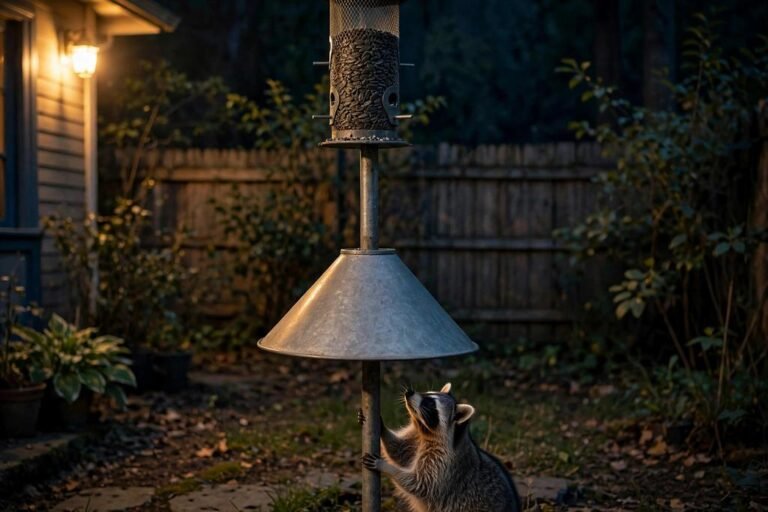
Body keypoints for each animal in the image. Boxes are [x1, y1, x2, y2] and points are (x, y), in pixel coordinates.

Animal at [361, 383, 521, 512]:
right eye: (426, 393)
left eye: (431, 403)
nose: (409, 391)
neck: (425, 431)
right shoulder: (416, 437)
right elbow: (399, 451)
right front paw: (382, 427)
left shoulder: (444, 464)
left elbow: (420, 484)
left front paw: (386, 467)